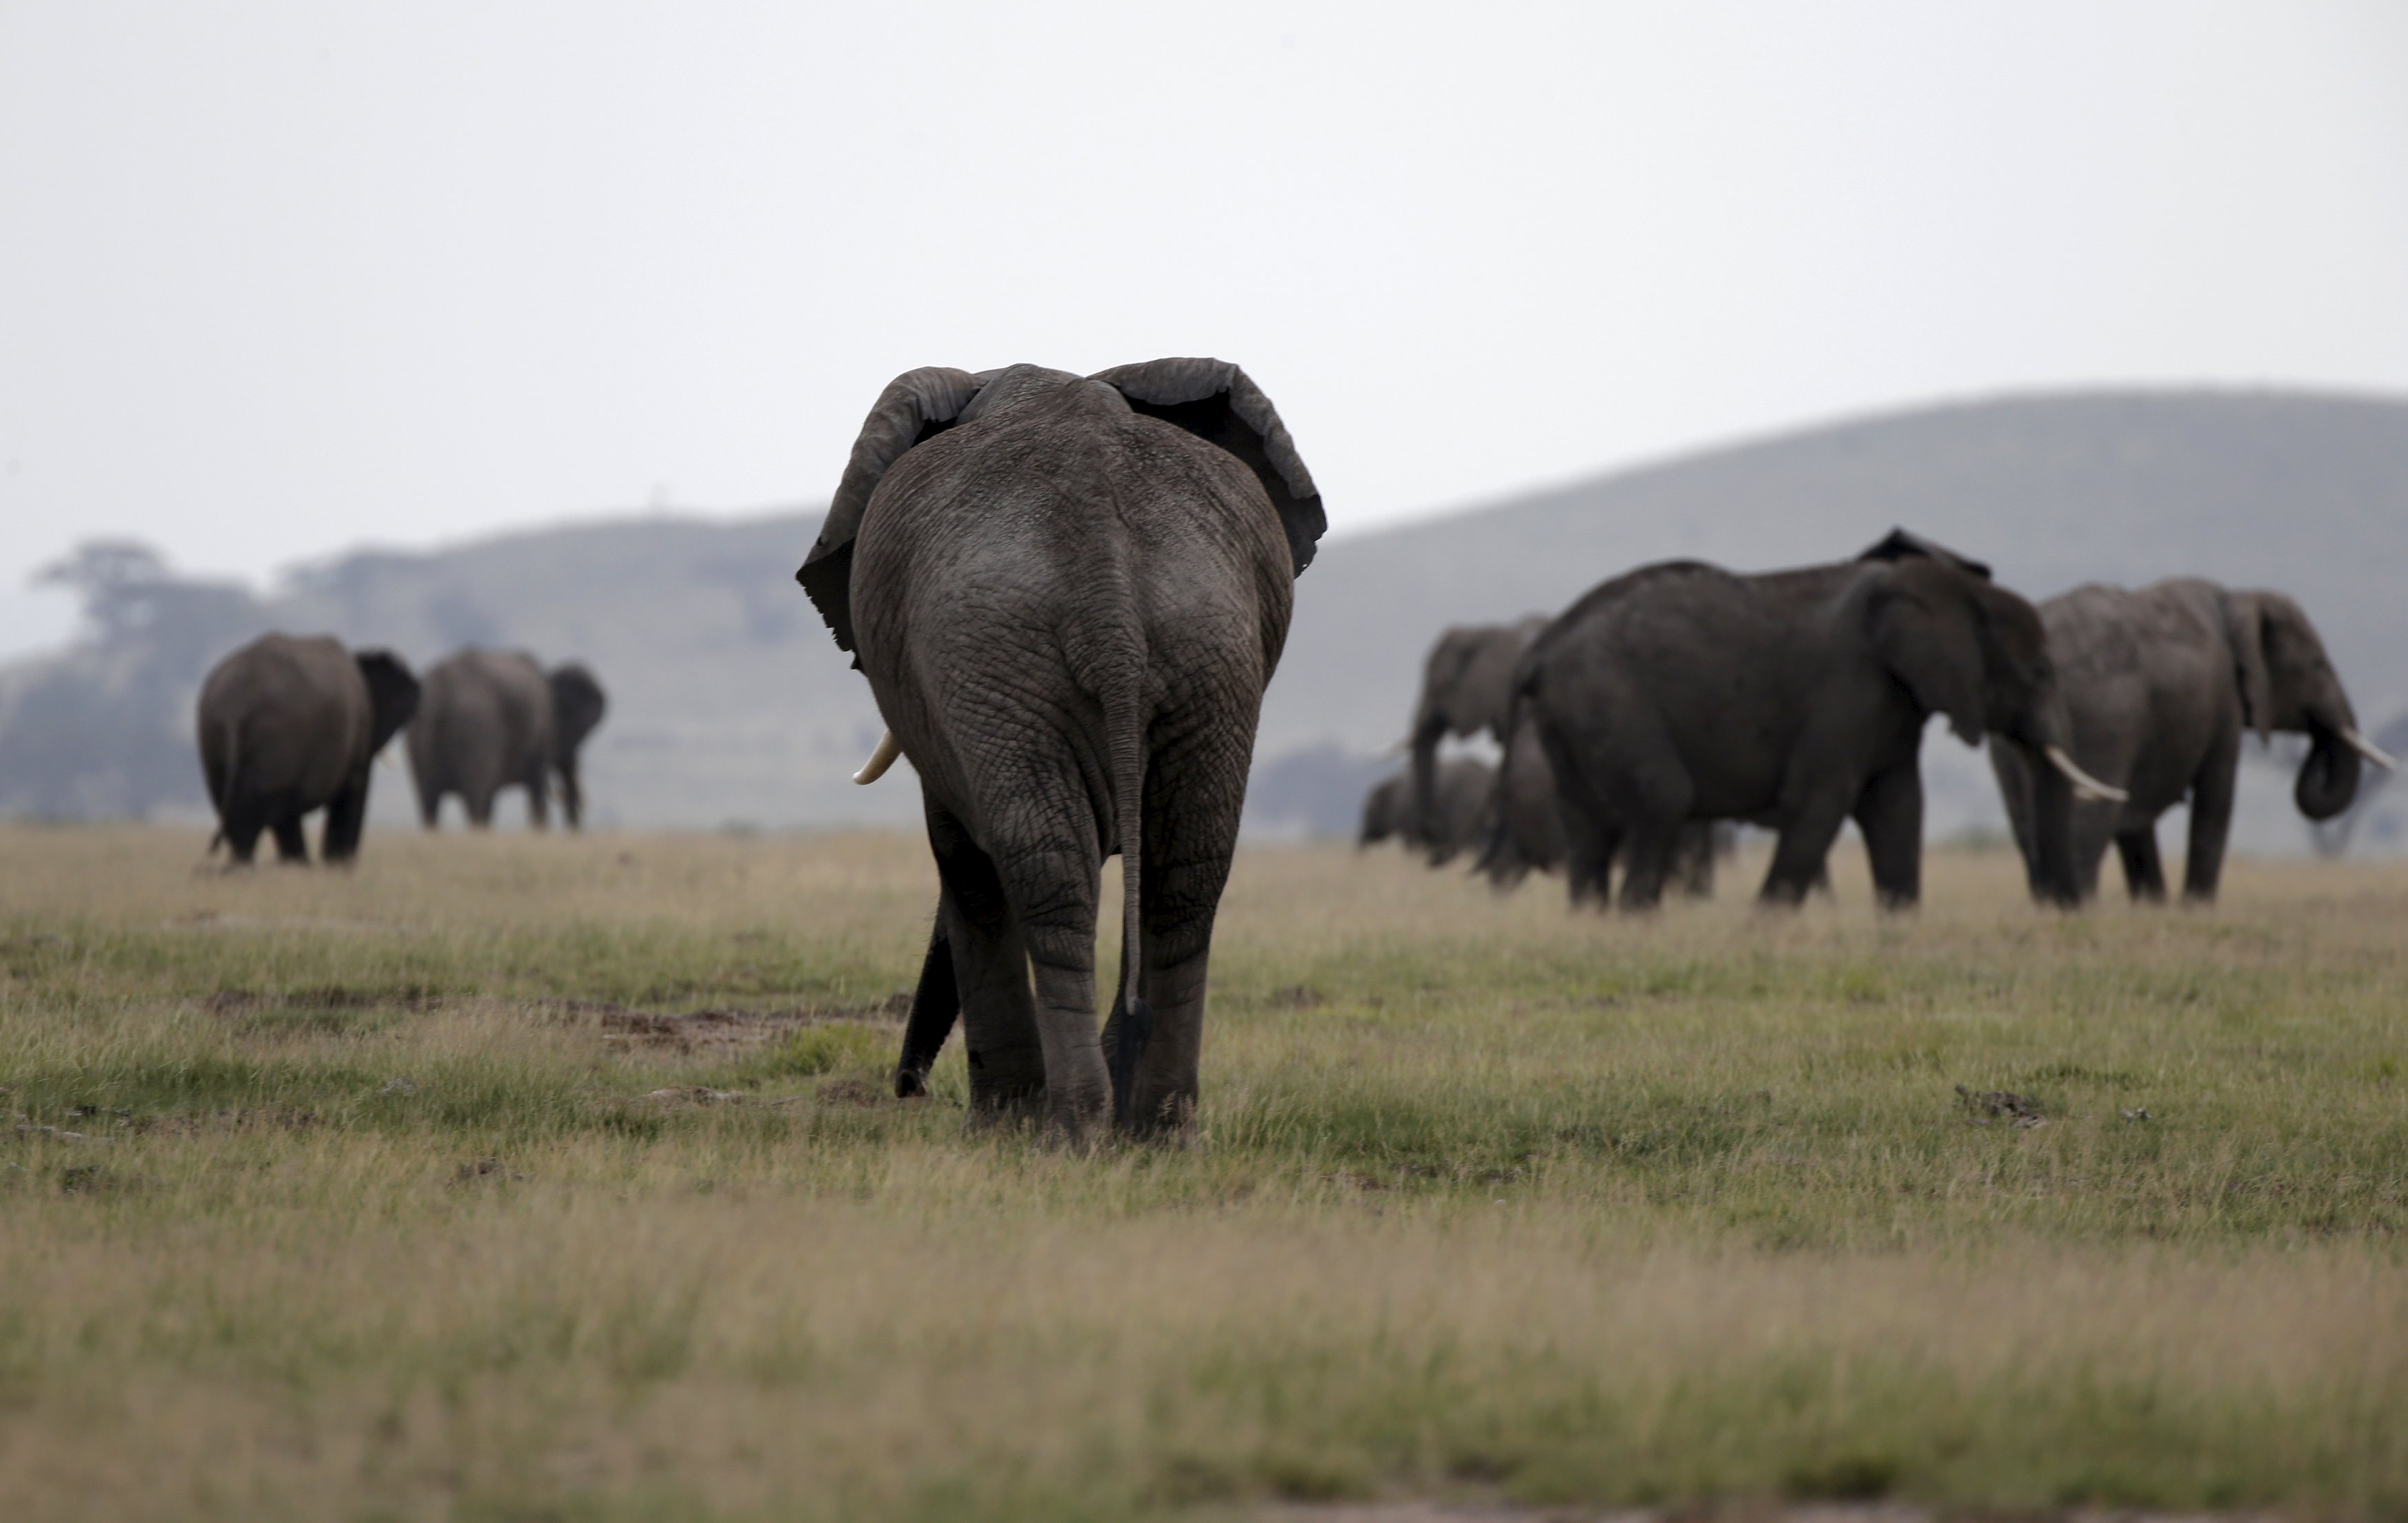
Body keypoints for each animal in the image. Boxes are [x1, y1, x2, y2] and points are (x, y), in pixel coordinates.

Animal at [196, 633, 419, 864]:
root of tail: (235, 705)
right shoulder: (361, 729)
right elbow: (352, 792)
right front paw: (338, 865)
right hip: (279, 739)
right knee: (268, 809)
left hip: (214, 735)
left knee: (241, 810)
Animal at [795, 359, 1325, 1139]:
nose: (908, 1088)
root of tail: (1106, 584)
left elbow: (961, 857)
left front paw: (1000, 1123)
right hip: (1206, 651)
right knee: (1183, 874)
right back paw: (1155, 1130)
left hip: (1000, 656)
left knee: (1042, 868)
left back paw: (1066, 1132)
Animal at [1514, 530, 2123, 910]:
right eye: (2039, 670)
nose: (2067, 915)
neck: (1950, 589)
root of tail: (1544, 648)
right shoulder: (1847, 687)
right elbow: (1821, 800)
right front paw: (1762, 928)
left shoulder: (1893, 702)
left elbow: (1899, 808)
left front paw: (1899, 928)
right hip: (1607, 697)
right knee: (1663, 798)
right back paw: (1636, 922)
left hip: (1573, 720)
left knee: (1587, 826)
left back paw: (1594, 921)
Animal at [1990, 579, 2394, 902]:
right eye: (2317, 664)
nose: (2316, 736)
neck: (2235, 598)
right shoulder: (2225, 704)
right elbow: (2216, 800)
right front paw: (2195, 909)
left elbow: (2136, 823)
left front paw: (2151, 909)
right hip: (2104, 716)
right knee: (2087, 819)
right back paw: (2079, 910)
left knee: (2031, 827)